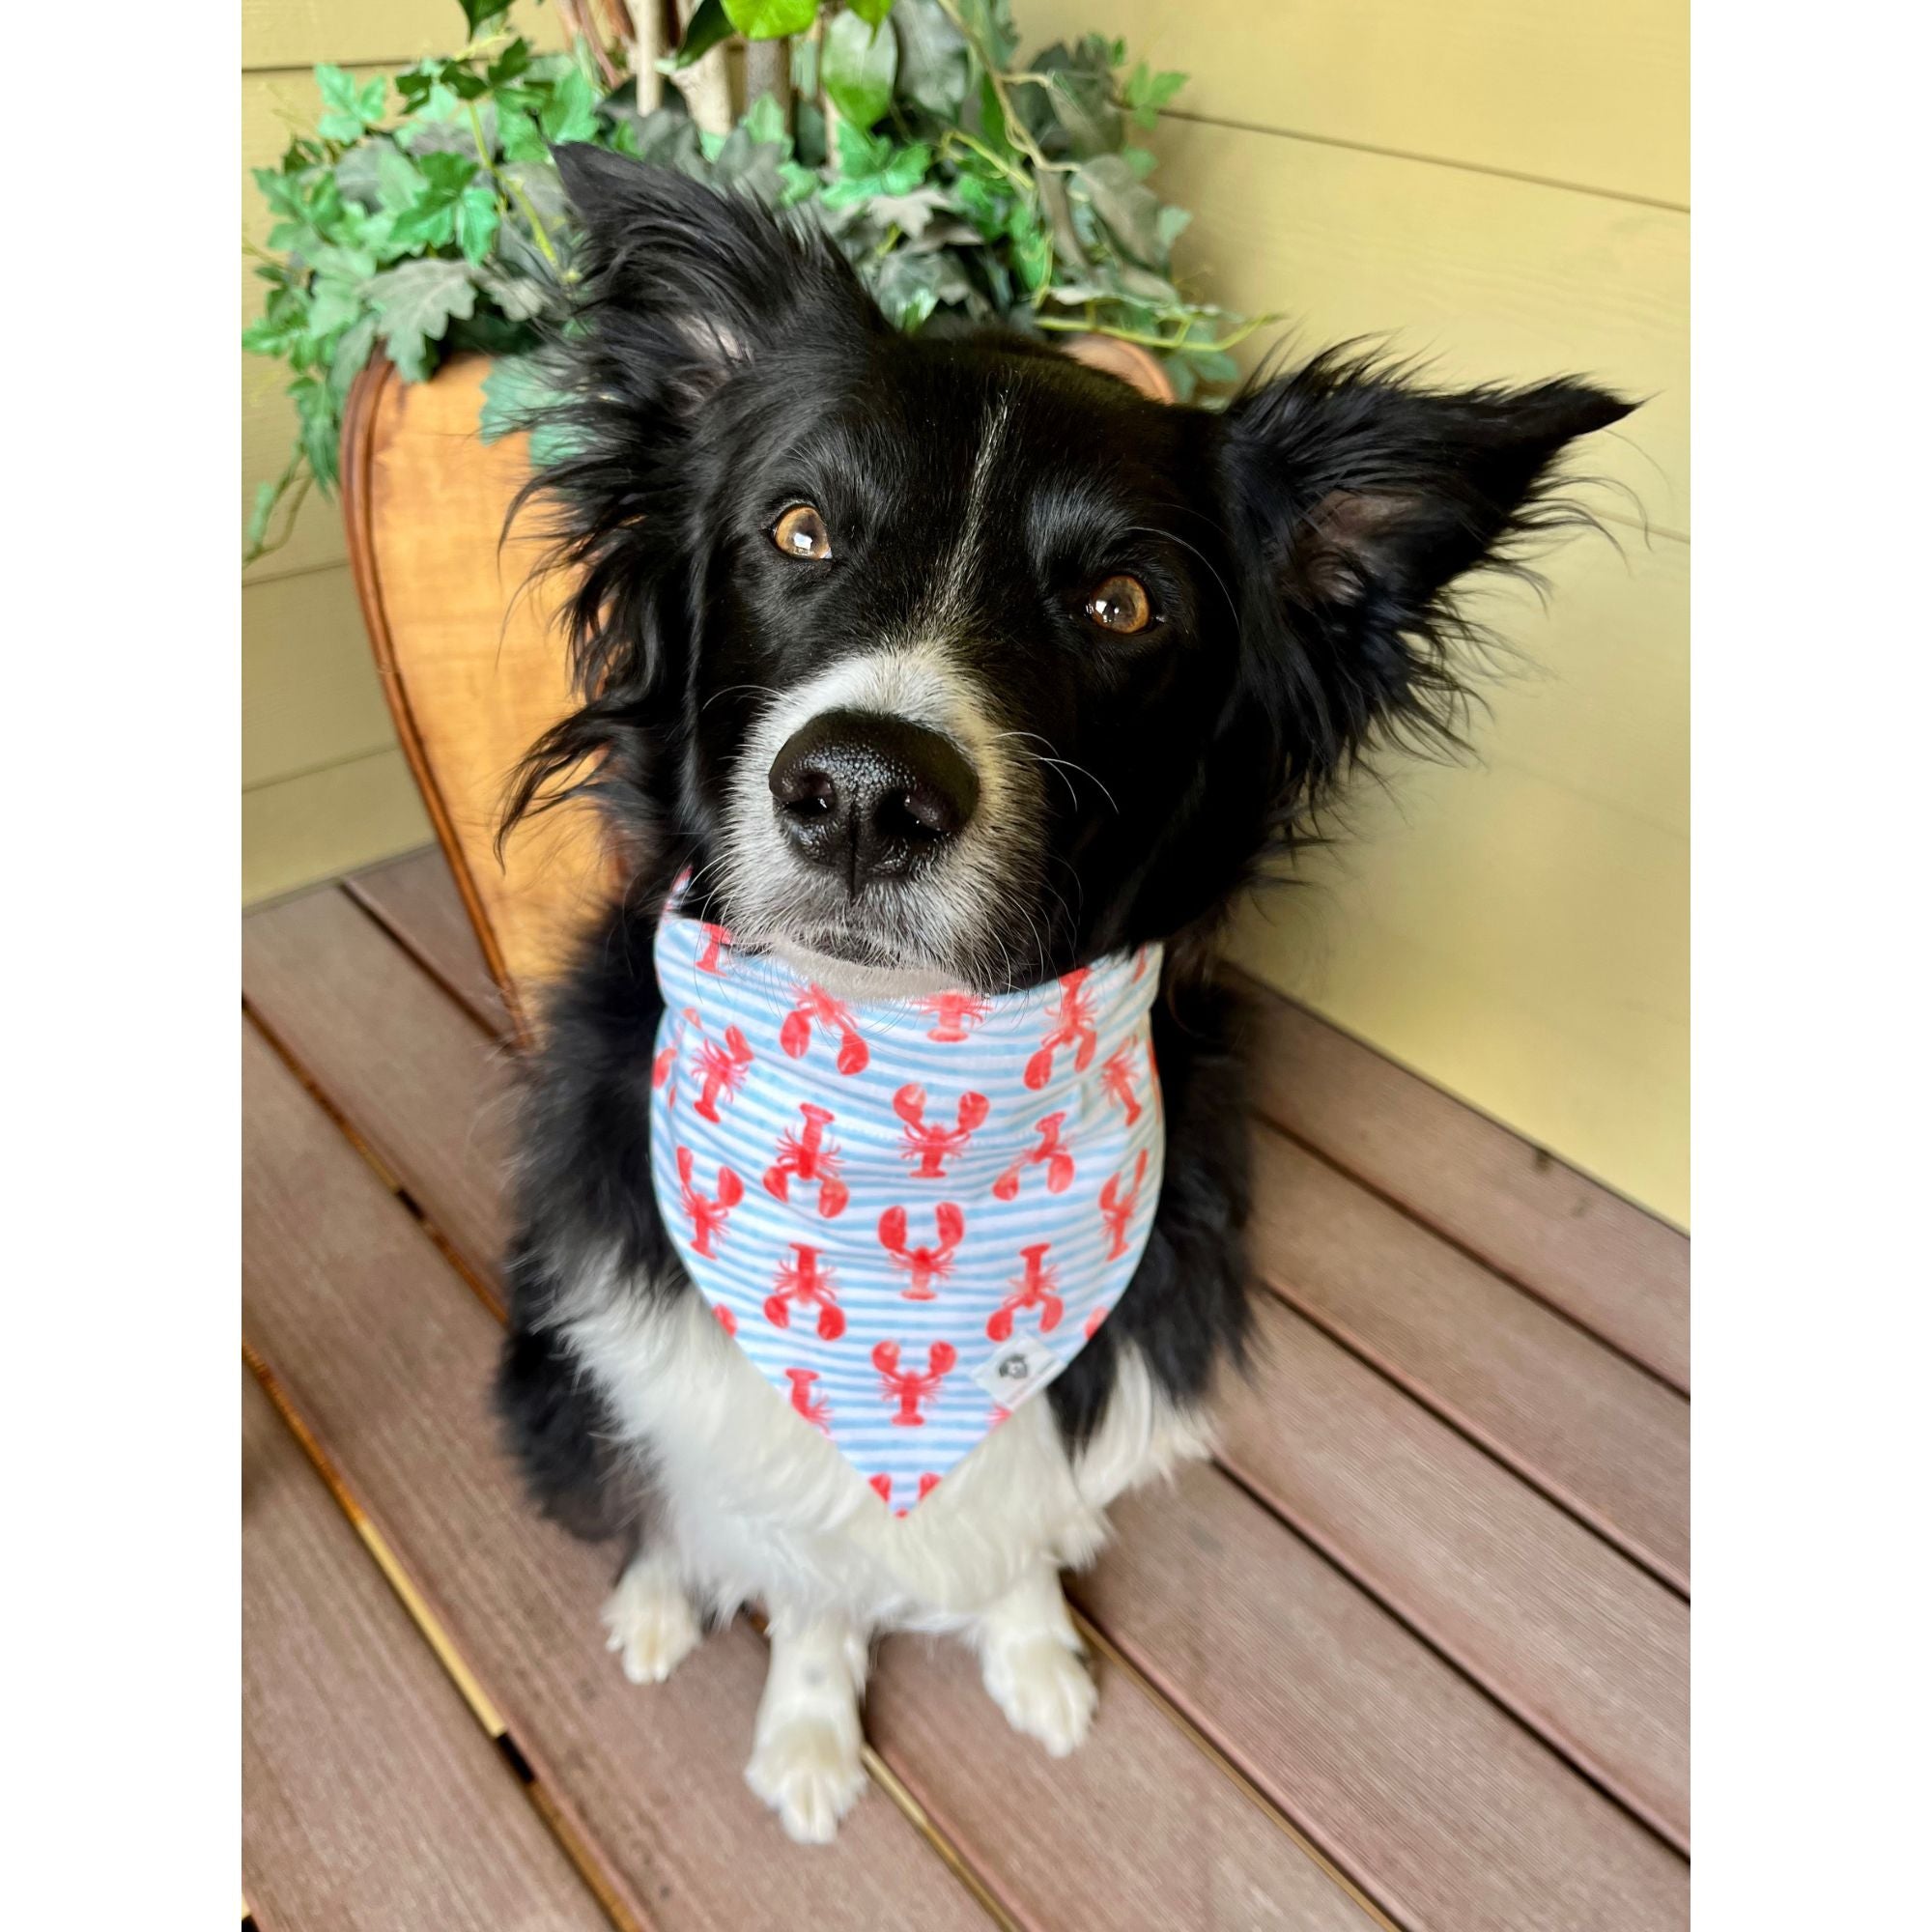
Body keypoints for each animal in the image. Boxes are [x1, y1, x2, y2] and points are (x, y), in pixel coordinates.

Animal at [491, 140, 1623, 1839]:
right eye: (800, 531)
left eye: (1123, 607)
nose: (864, 795)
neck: (906, 1089)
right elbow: (809, 1573)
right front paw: (809, 1735)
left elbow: (1018, 1528)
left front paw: (1033, 1660)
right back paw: (656, 1598)